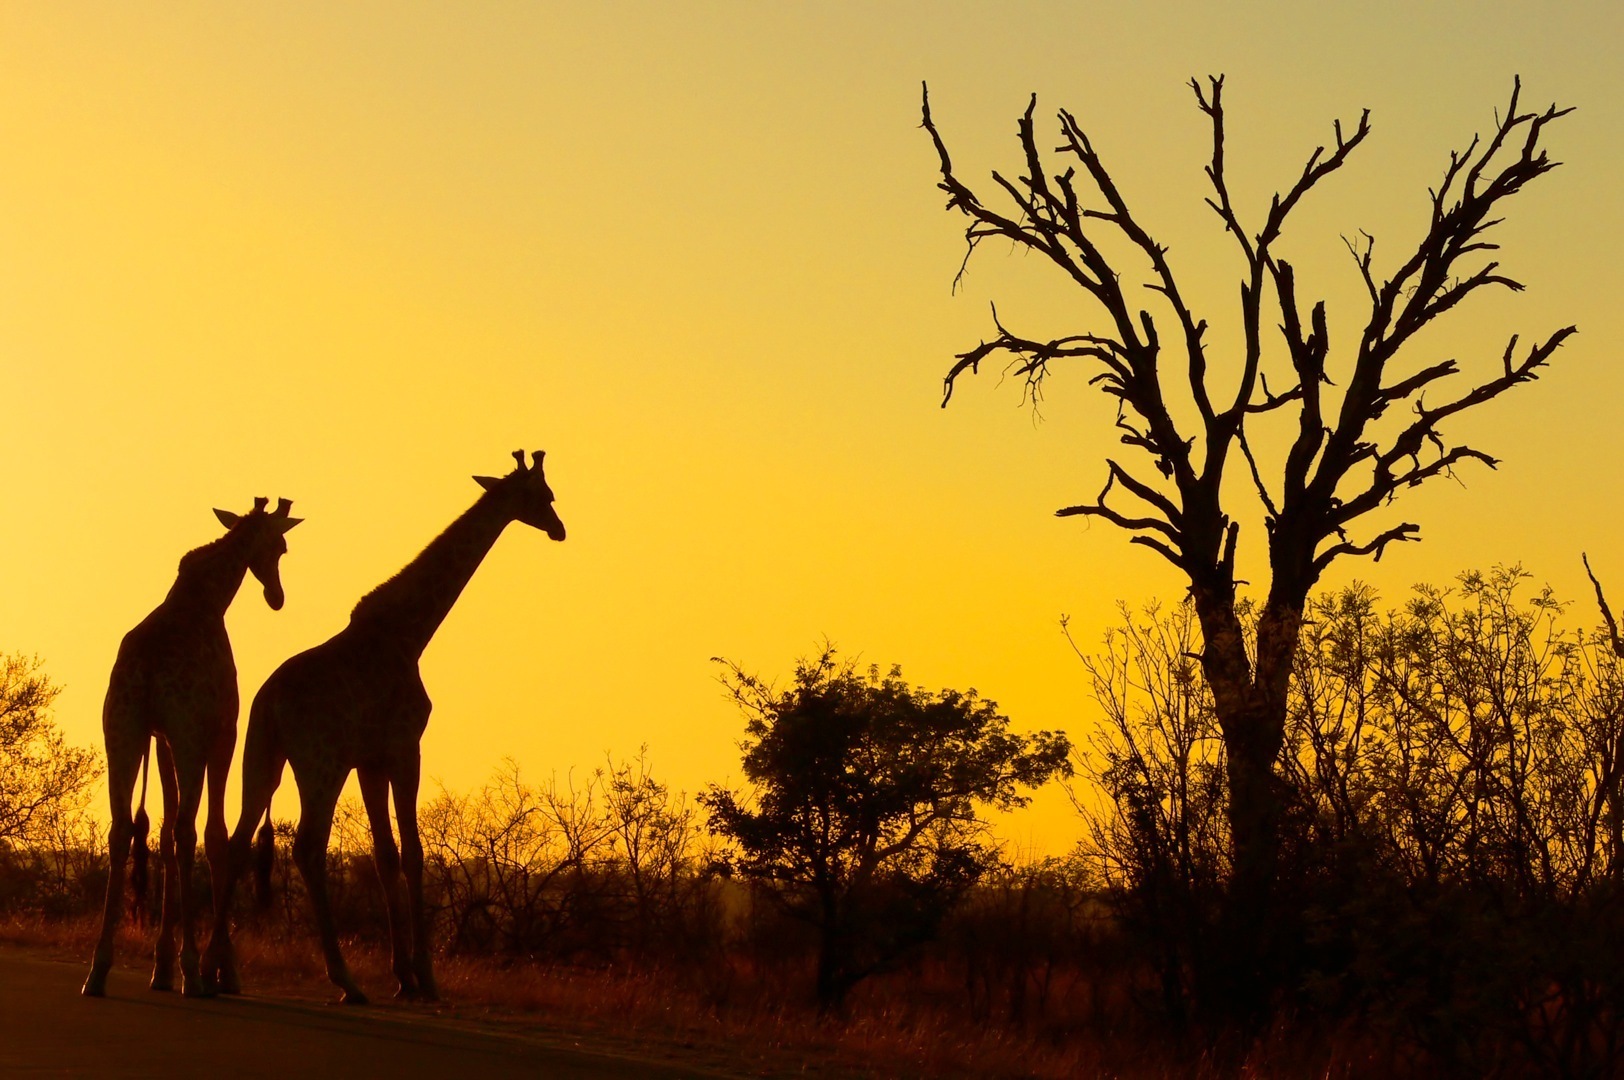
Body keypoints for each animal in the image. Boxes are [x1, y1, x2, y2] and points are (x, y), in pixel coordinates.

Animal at [83, 493, 305, 993]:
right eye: (281, 546)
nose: (277, 597)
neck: (208, 600)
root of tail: (145, 666)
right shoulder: (219, 733)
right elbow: (214, 835)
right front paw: (218, 968)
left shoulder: (162, 738)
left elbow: (163, 835)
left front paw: (161, 966)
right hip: (184, 738)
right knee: (187, 831)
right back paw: (190, 969)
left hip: (120, 731)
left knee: (121, 830)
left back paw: (99, 968)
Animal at [203, 448, 565, 1000]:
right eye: (541, 494)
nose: (559, 529)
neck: (409, 635)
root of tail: (269, 702)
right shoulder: (403, 747)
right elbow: (413, 853)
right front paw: (426, 976)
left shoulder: (369, 761)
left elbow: (384, 854)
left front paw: (403, 975)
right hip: (320, 764)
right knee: (308, 847)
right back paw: (345, 980)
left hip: (262, 757)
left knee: (240, 842)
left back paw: (216, 970)